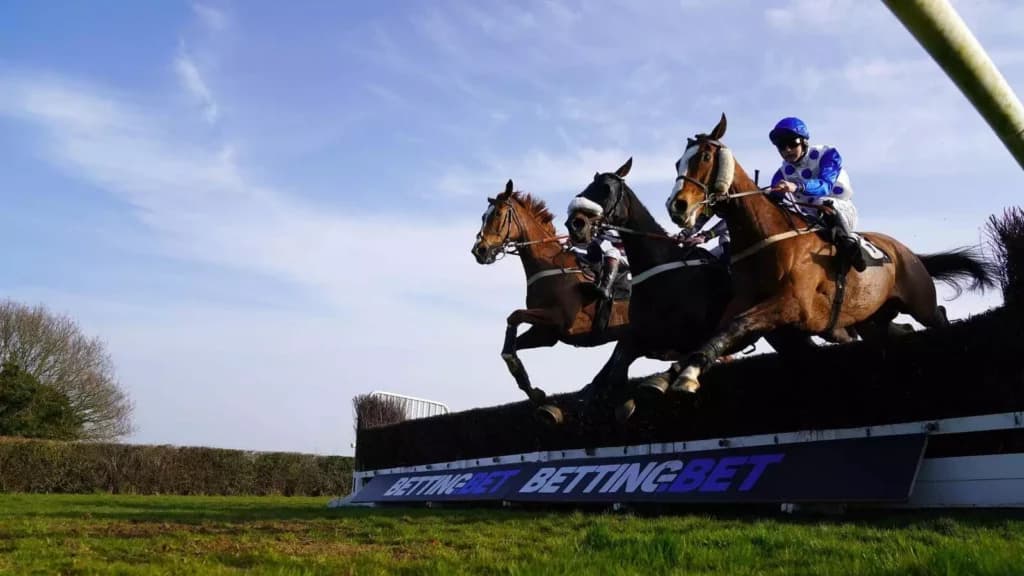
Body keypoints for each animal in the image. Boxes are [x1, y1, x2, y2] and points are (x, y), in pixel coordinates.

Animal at [471, 179, 630, 422]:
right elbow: (510, 347)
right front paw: (536, 394)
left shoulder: (564, 321)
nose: (479, 250)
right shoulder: (546, 334)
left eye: (497, 214)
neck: (550, 267)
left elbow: (515, 315)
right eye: (483, 216)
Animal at [568, 159, 738, 421]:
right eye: (588, 187)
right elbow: (614, 364)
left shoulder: (682, 337)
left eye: (606, 189)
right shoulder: (639, 334)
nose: (575, 224)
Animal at [664, 114, 997, 393]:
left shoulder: (792, 304)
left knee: (937, 315)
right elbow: (717, 333)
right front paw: (673, 373)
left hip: (919, 302)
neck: (766, 238)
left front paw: (687, 374)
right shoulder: (743, 301)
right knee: (898, 330)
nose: (676, 206)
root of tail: (910, 254)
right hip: (871, 318)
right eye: (678, 162)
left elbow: (736, 326)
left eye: (705, 156)